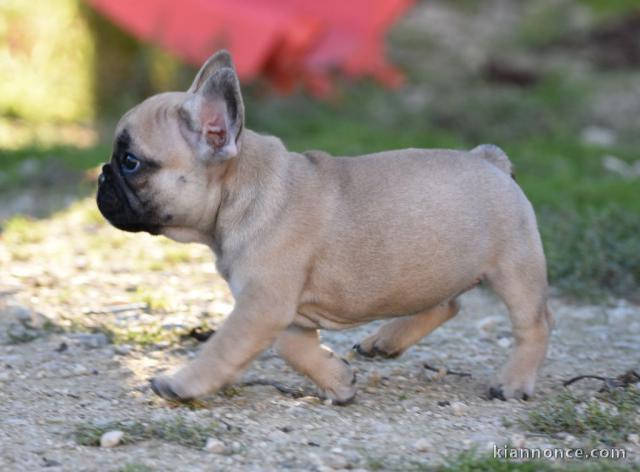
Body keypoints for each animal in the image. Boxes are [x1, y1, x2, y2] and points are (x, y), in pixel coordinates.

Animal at [97, 49, 552, 404]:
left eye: (131, 162)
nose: (101, 175)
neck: (240, 190)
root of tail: (489, 159)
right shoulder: (283, 311)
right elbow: (291, 347)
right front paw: (338, 380)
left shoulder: (262, 305)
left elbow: (223, 348)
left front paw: (182, 384)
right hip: (432, 267)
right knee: (446, 304)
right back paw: (386, 340)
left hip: (515, 267)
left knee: (534, 324)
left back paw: (513, 382)